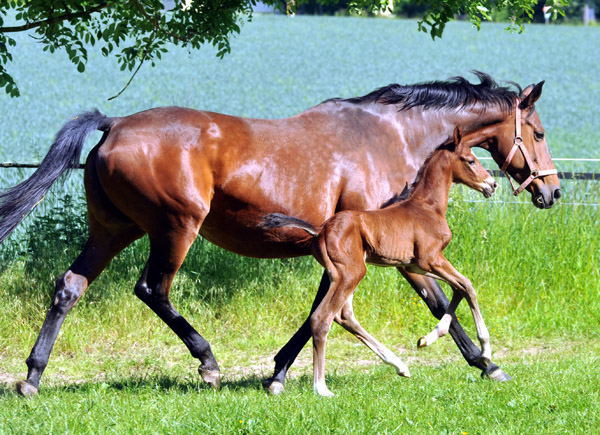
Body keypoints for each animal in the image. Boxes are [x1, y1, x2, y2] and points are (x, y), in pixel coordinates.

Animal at [262, 127, 496, 396]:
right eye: (470, 160)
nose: (492, 185)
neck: (427, 207)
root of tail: (320, 230)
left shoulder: (415, 265)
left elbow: (458, 288)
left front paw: (428, 338)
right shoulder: (431, 259)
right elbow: (467, 285)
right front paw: (485, 353)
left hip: (345, 276)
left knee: (344, 316)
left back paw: (399, 365)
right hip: (351, 274)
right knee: (322, 318)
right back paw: (321, 387)